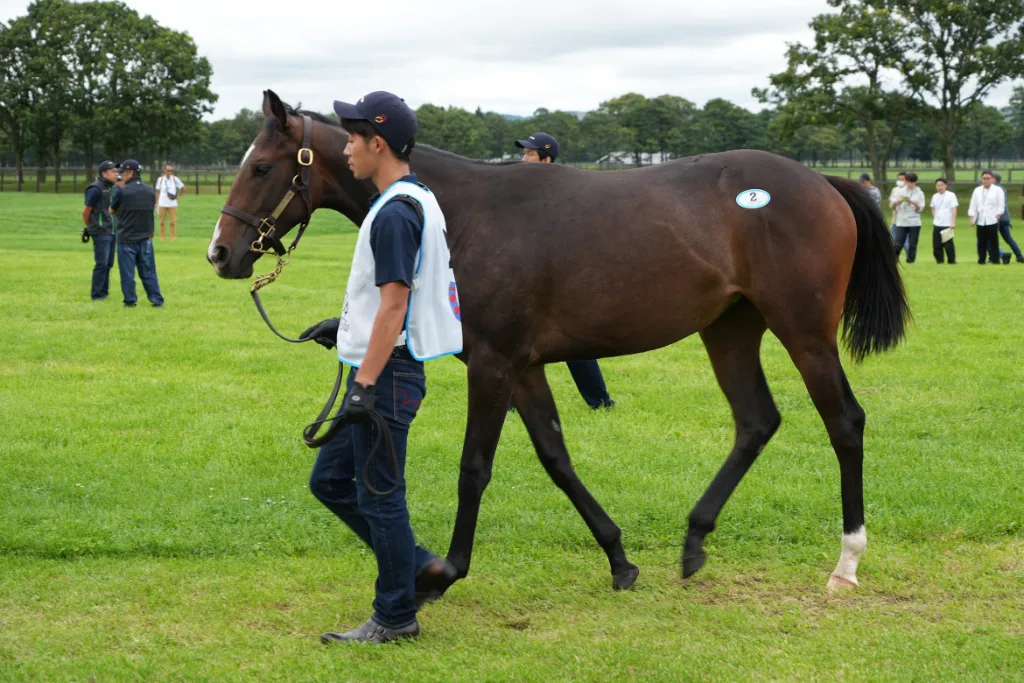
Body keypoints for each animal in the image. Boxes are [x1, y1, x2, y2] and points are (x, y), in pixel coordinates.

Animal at [208, 90, 908, 596]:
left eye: (262, 166)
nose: (221, 253)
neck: (459, 212)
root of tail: (822, 182)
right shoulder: (523, 367)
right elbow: (555, 457)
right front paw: (620, 558)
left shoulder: (493, 366)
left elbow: (475, 467)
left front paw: (443, 573)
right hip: (729, 329)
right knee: (756, 421)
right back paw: (694, 540)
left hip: (804, 332)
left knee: (845, 422)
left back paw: (847, 561)